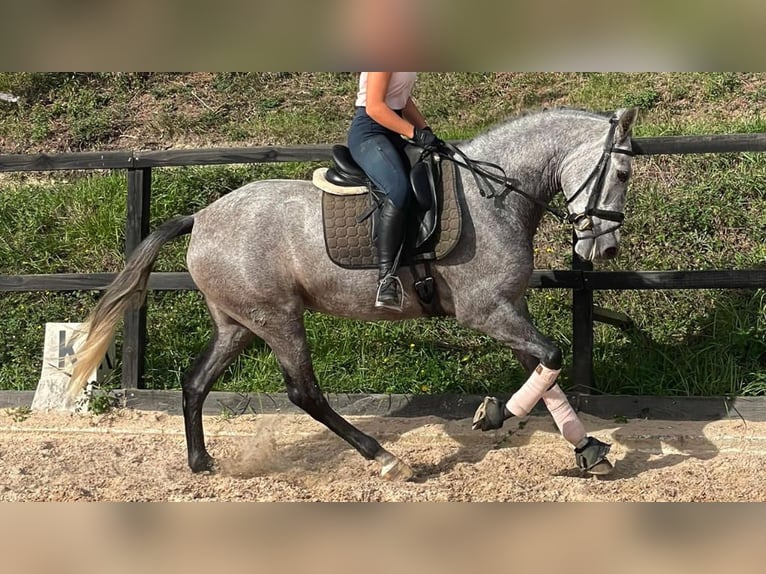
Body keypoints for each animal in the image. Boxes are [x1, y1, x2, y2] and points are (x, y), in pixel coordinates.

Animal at [69, 107, 640, 482]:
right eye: (623, 172)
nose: (606, 247)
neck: (492, 196)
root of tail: (202, 217)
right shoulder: (485, 311)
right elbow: (552, 357)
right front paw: (496, 415)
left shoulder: (509, 308)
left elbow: (545, 370)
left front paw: (588, 449)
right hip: (278, 318)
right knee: (304, 393)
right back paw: (386, 458)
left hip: (239, 323)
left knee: (195, 382)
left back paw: (201, 462)